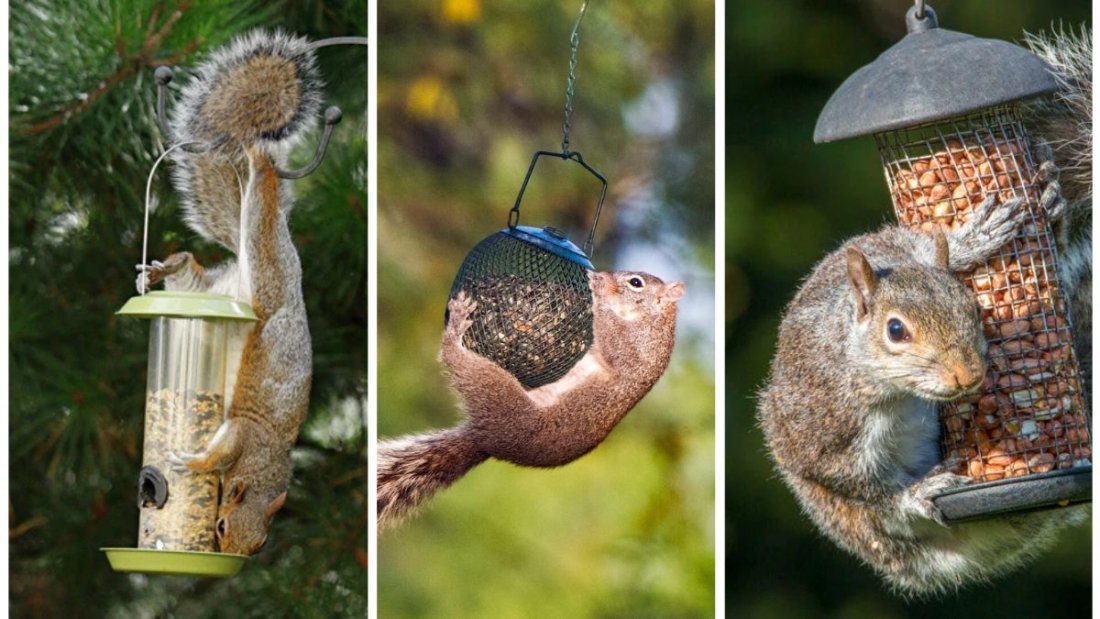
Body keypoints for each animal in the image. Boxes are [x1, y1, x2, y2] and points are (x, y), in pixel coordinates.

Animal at [137, 30, 320, 555]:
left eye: (258, 545)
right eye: (219, 527)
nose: (237, 559)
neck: (266, 466)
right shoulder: (241, 432)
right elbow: (218, 455)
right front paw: (195, 463)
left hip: (218, 284)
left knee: (191, 269)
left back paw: (165, 268)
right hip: (265, 260)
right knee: (259, 198)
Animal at [378, 270, 684, 528]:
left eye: (636, 282)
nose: (602, 275)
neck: (654, 320)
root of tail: (485, 438)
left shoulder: (635, 350)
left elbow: (612, 337)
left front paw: (594, 290)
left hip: (499, 393)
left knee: (453, 357)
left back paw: (455, 329)